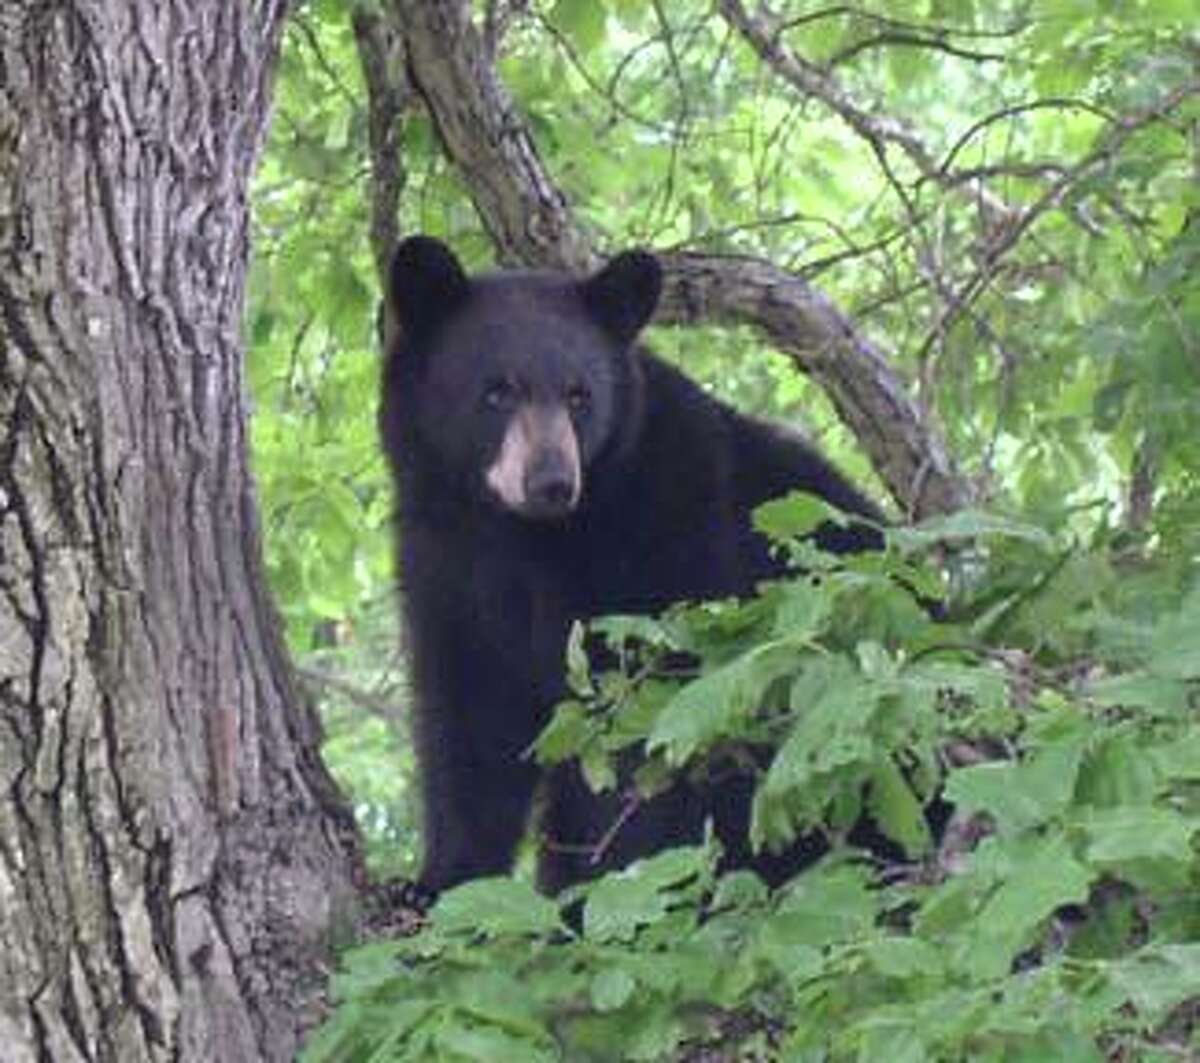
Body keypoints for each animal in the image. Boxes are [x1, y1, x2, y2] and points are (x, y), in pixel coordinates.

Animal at [379, 238, 888, 897]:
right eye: (496, 391)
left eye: (579, 395)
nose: (551, 482)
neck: (523, 538)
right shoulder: (445, 566)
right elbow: (470, 727)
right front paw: (439, 880)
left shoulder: (669, 541)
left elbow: (647, 734)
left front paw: (600, 889)